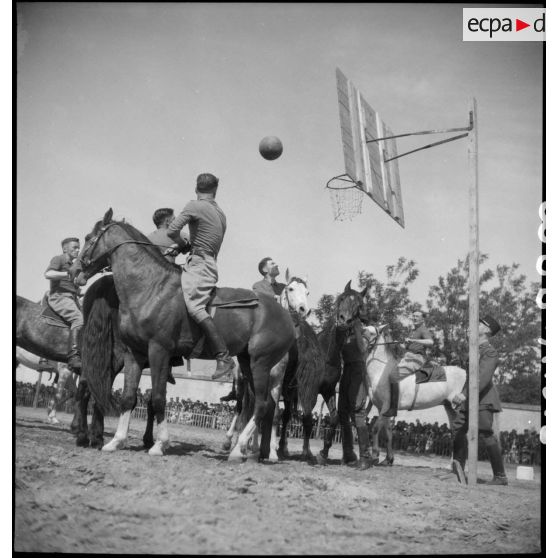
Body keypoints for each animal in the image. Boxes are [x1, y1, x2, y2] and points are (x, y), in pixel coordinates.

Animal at [73, 208, 298, 462]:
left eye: (89, 238)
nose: (76, 271)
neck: (151, 287)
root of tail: (287, 316)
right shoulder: (134, 354)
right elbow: (128, 397)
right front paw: (117, 441)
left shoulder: (158, 350)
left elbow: (158, 398)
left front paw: (159, 444)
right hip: (247, 363)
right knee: (260, 407)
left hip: (261, 364)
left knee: (261, 405)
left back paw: (240, 449)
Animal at [226, 272, 310, 464]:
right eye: (290, 289)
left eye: (307, 292)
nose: (303, 309)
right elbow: (252, 411)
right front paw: (251, 447)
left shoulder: (277, 380)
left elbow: (274, 414)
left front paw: (270, 452)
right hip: (241, 382)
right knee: (240, 408)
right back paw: (231, 441)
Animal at [364, 326, 468, 466]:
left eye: (371, 332)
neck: (381, 372)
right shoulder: (384, 409)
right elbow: (388, 432)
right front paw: (388, 459)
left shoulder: (385, 406)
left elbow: (375, 429)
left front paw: (374, 455)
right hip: (450, 407)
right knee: (455, 432)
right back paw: (452, 464)